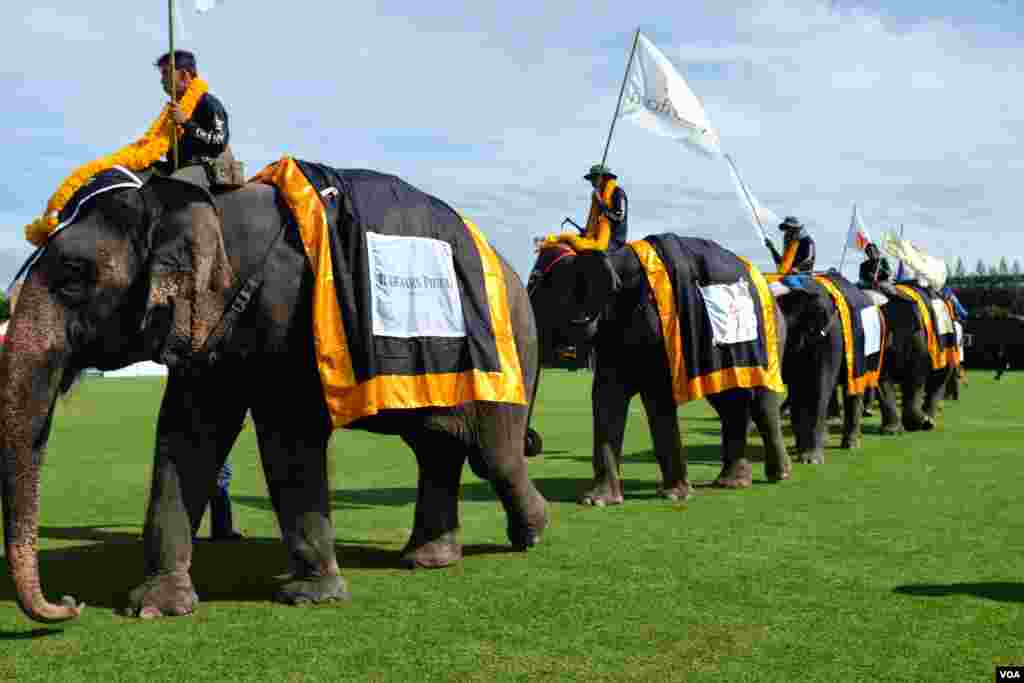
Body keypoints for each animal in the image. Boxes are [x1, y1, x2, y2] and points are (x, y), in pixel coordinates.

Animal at [2, 161, 552, 626]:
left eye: (74, 278)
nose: (68, 605)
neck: (195, 199)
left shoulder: (288, 314)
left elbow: (287, 434)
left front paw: (310, 597)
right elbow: (187, 433)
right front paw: (154, 607)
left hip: (504, 352)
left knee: (493, 455)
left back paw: (532, 533)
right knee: (437, 446)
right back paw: (429, 559)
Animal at [524, 236, 794, 507]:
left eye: (535, 282)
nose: (530, 443)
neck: (610, 259)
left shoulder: (658, 329)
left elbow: (657, 396)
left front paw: (675, 496)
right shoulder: (612, 334)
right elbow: (606, 396)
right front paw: (596, 501)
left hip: (770, 337)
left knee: (761, 401)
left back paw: (778, 475)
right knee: (729, 402)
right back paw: (732, 482)